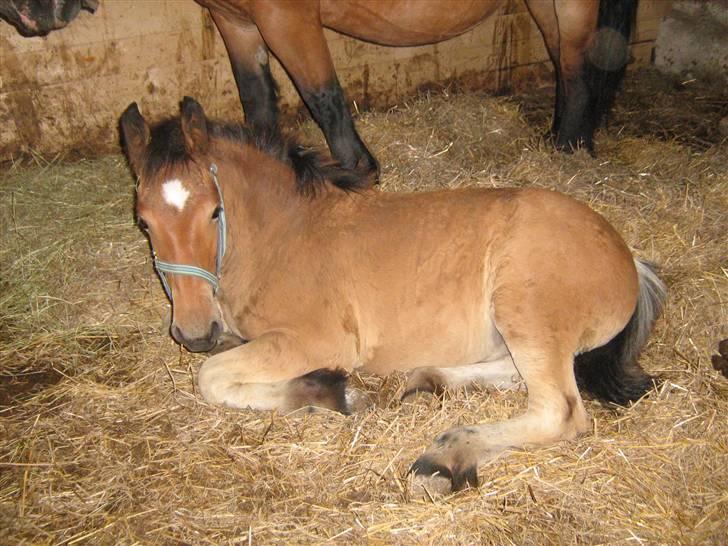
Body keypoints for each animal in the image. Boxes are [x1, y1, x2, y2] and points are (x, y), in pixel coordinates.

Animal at [122, 99, 668, 492]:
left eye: (214, 211)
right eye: (144, 220)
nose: (193, 332)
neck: (284, 235)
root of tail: (628, 258)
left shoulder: (320, 339)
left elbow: (211, 377)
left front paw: (332, 391)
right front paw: (324, 390)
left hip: (524, 309)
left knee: (559, 408)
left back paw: (445, 456)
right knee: (519, 374)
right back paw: (428, 379)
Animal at [196, 0, 636, 174]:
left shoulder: (286, 18)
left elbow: (325, 100)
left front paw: (361, 173)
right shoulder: (236, 21)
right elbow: (256, 100)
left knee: (578, 72)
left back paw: (571, 150)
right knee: (563, 64)